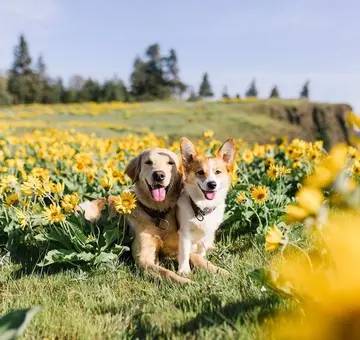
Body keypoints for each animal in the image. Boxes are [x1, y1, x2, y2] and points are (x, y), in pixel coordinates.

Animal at [176, 138, 235, 276]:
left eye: (218, 172)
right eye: (200, 172)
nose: (212, 184)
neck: (202, 209)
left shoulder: (206, 235)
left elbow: (201, 250)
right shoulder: (184, 233)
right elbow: (184, 253)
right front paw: (184, 270)